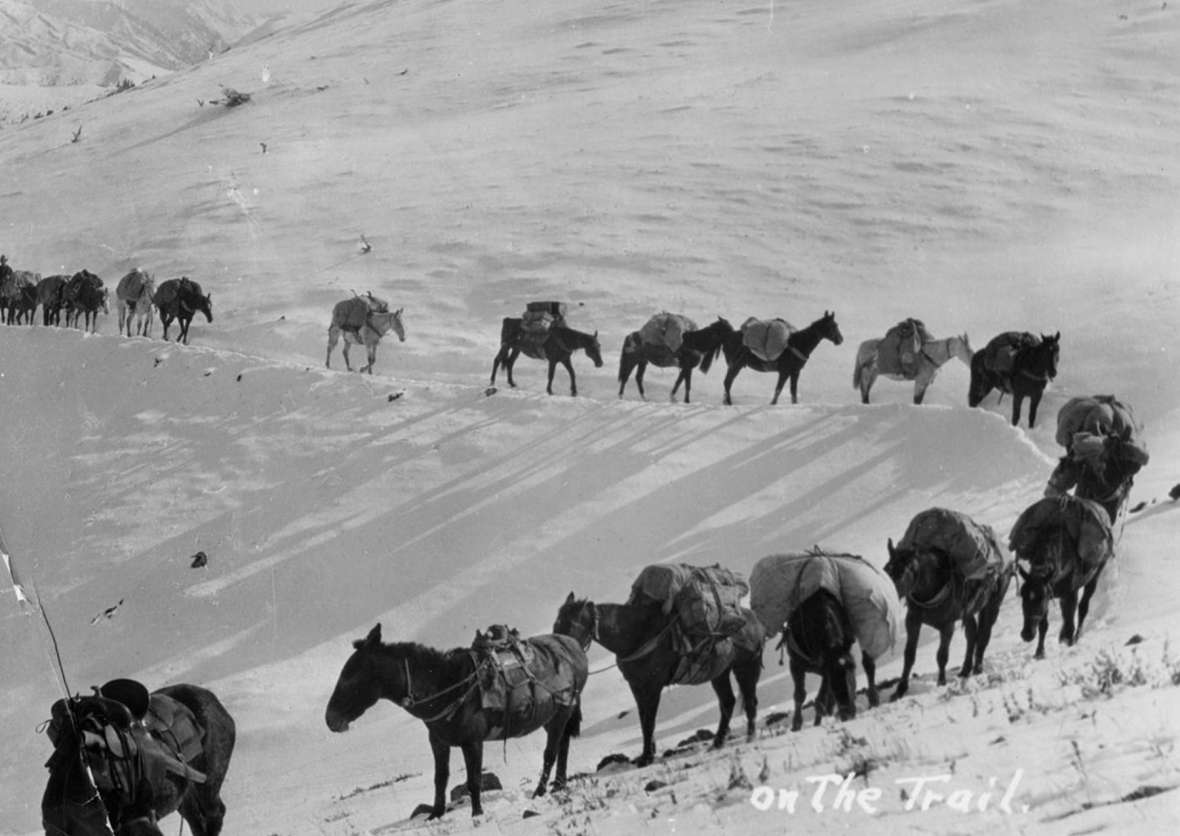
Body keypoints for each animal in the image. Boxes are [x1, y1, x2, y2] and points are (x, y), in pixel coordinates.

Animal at [325, 623, 587, 821]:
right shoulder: (438, 742)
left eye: (351, 675)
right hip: (553, 718)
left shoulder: (472, 742)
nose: (330, 719)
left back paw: (540, 791)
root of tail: (574, 649)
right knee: (563, 746)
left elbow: (474, 780)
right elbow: (440, 779)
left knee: (551, 752)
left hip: (561, 712)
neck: (448, 685)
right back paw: (559, 784)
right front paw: (436, 814)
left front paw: (477, 813)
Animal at [554, 590, 764, 765]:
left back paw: (750, 737)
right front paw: (647, 753)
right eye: (557, 623)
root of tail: (755, 621)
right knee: (728, 702)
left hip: (746, 668)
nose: (559, 650)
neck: (637, 636)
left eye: (572, 625)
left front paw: (647, 758)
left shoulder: (653, 686)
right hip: (720, 673)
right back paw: (718, 742)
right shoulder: (637, 686)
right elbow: (643, 720)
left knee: (750, 701)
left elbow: (649, 722)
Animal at [783, 588, 877, 732]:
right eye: (834, 675)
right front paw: (796, 725)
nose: (848, 713)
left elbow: (820, 700)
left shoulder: (825, 667)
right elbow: (800, 695)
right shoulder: (796, 664)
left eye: (852, 668)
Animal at [887, 536, 1010, 699]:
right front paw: (900, 689)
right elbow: (909, 655)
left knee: (984, 635)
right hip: (968, 612)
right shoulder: (912, 621)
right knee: (972, 634)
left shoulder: (947, 626)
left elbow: (942, 655)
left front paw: (941, 683)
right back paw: (965, 670)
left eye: (901, 573)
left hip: (992, 605)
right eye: (887, 569)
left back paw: (977, 669)